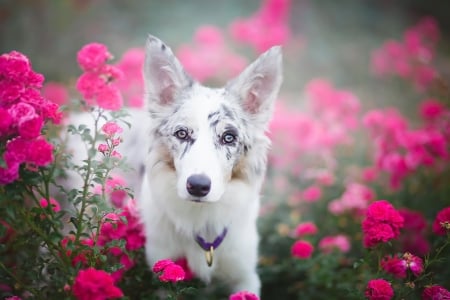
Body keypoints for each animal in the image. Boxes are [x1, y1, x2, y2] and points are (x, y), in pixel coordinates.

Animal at [139, 35, 284, 296]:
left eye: (228, 137)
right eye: (182, 133)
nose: (198, 186)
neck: (202, 219)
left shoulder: (246, 277)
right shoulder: (161, 274)